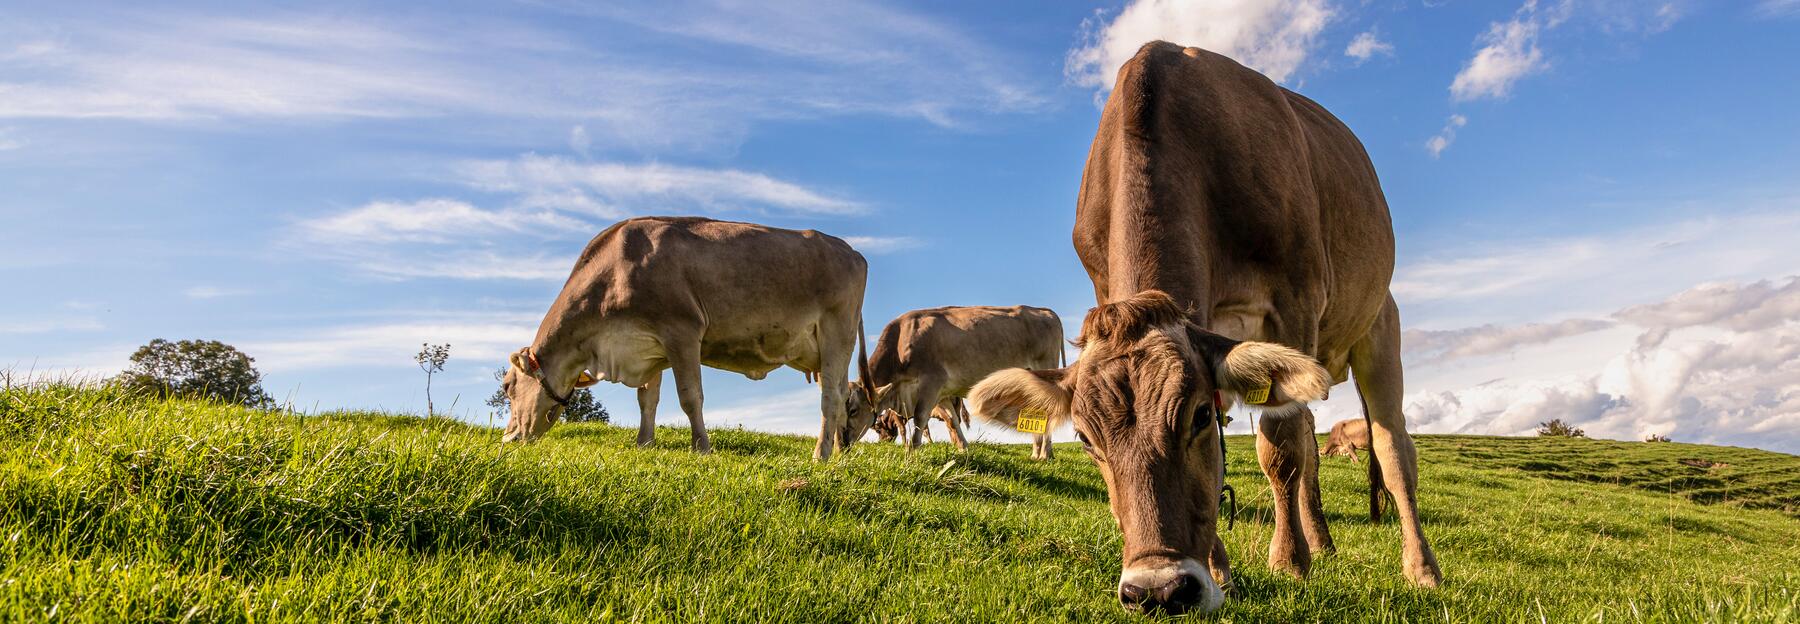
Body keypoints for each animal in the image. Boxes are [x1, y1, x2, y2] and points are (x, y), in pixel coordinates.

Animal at [500, 216, 872, 461]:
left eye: (507, 386)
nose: (508, 437)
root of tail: (851, 251)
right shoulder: (647, 346)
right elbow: (647, 400)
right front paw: (644, 443)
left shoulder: (682, 331)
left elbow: (690, 397)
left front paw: (702, 447)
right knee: (842, 396)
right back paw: (839, 452)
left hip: (837, 333)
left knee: (830, 399)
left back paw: (820, 455)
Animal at [845, 305, 1064, 459]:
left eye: (853, 410)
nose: (843, 443)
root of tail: (1045, 310)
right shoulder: (942, 393)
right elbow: (952, 420)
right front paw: (964, 449)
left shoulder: (931, 383)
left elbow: (920, 419)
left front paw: (912, 454)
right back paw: (1036, 453)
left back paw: (1045, 455)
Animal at [968, 42, 1441, 614]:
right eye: (1083, 437)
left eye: (1197, 416)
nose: (1158, 590)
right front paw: (1223, 570)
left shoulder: (1294, 303)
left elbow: (1280, 447)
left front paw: (1288, 562)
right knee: (1314, 440)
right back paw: (1322, 542)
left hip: (1378, 326)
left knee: (1393, 448)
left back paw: (1421, 568)